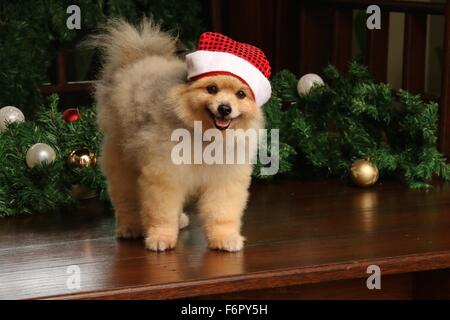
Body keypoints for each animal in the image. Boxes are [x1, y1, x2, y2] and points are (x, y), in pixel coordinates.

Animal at [93, 19, 270, 252]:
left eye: (240, 94)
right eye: (211, 89)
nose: (225, 108)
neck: (205, 136)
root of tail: (139, 57)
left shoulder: (224, 179)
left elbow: (221, 213)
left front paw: (224, 238)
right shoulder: (165, 174)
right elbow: (162, 213)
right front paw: (161, 237)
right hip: (123, 159)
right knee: (126, 199)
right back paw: (130, 227)